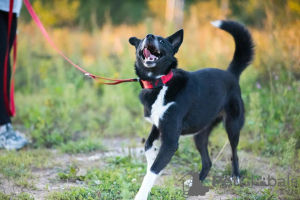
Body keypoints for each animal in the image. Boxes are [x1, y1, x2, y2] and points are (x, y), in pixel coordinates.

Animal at [129, 20, 253, 200]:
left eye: (162, 41)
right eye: (142, 41)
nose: (149, 36)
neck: (160, 83)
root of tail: (230, 73)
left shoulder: (170, 141)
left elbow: (153, 171)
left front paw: (141, 194)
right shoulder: (158, 124)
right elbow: (148, 145)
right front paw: (151, 156)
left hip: (232, 125)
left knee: (234, 151)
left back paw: (235, 176)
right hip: (200, 134)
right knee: (207, 162)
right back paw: (196, 181)